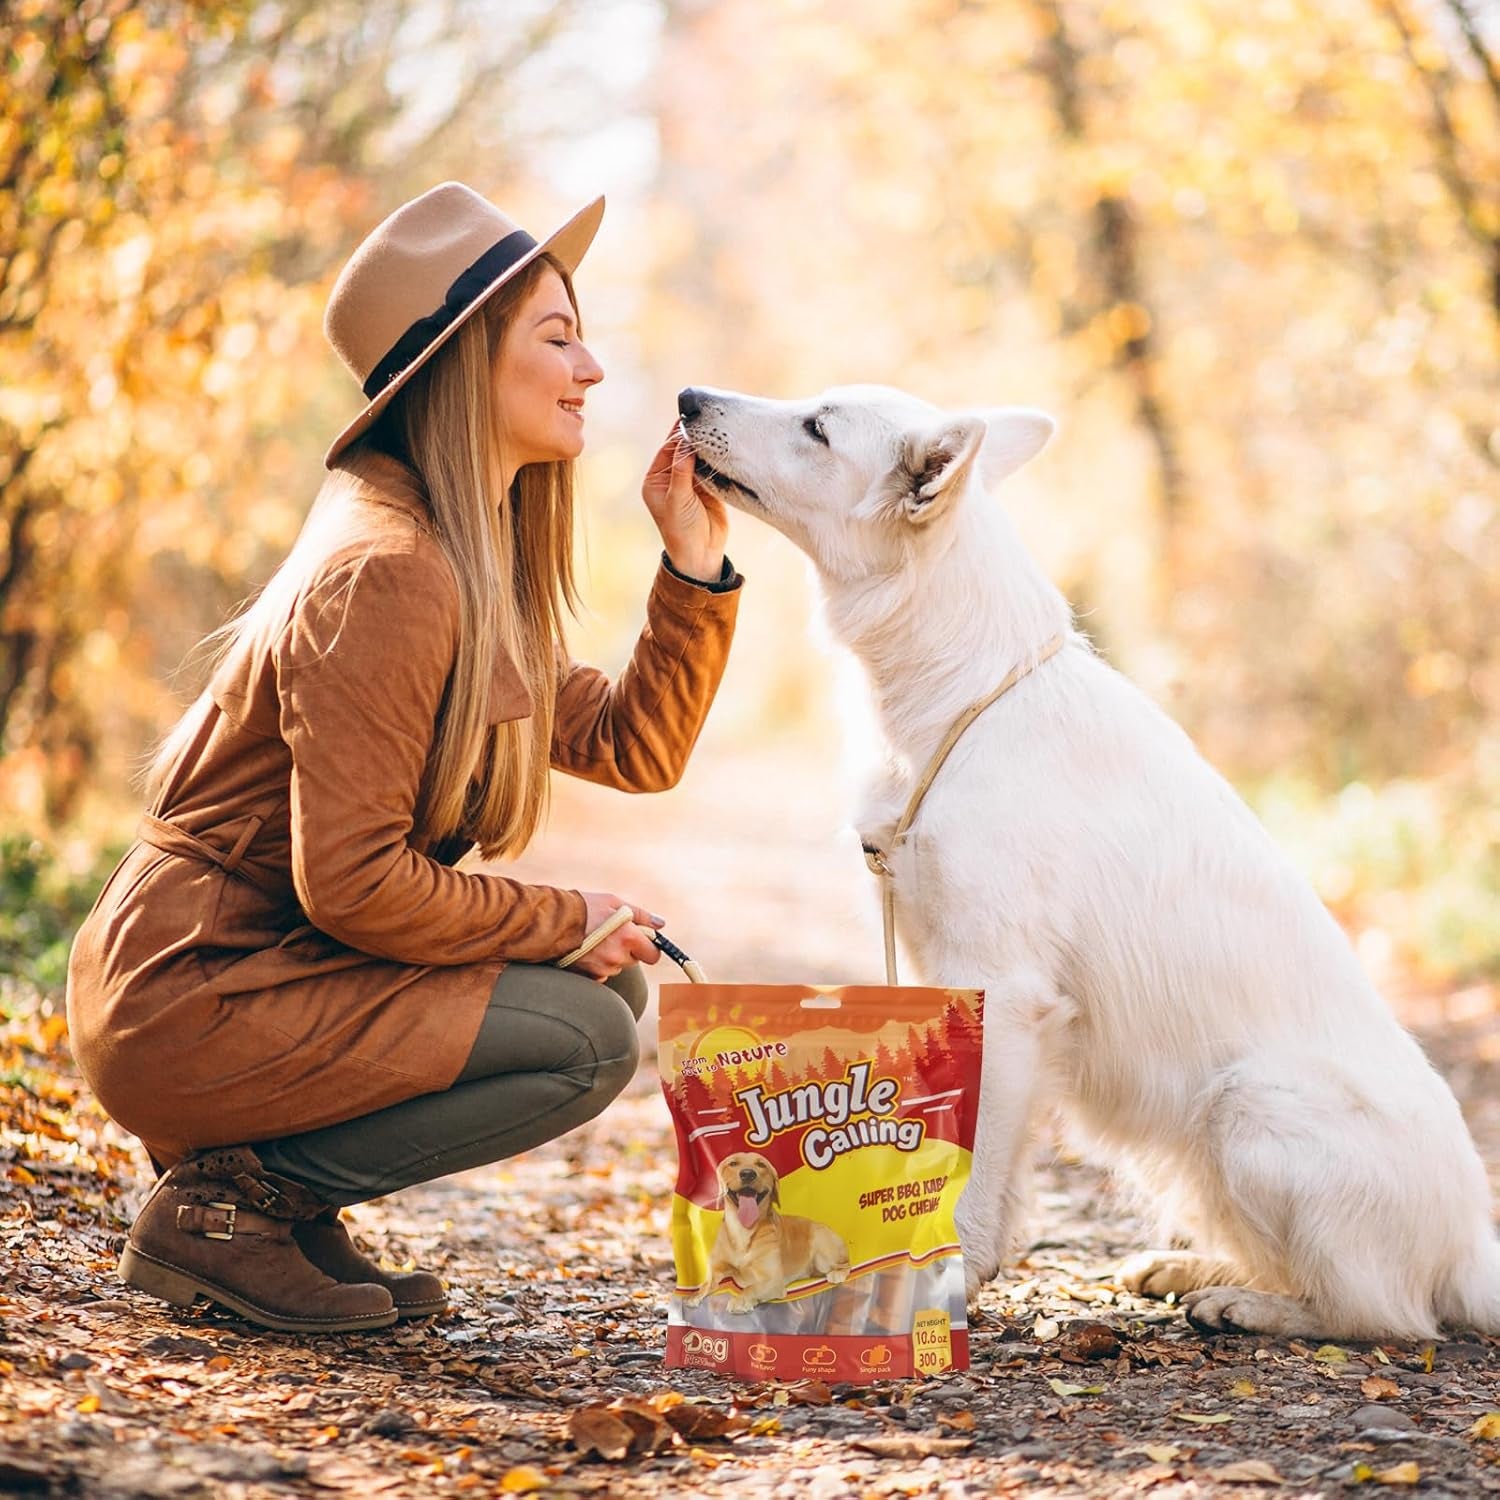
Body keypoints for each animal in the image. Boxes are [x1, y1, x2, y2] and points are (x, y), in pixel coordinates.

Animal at [681, 381, 1500, 1344]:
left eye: (817, 427)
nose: (688, 398)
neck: (964, 693)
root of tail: (1473, 1249)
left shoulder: (1005, 990)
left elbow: (978, 1163)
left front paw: (948, 1276)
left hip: (1248, 1106)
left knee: (1380, 1312)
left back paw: (1250, 1304)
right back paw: (1195, 1270)